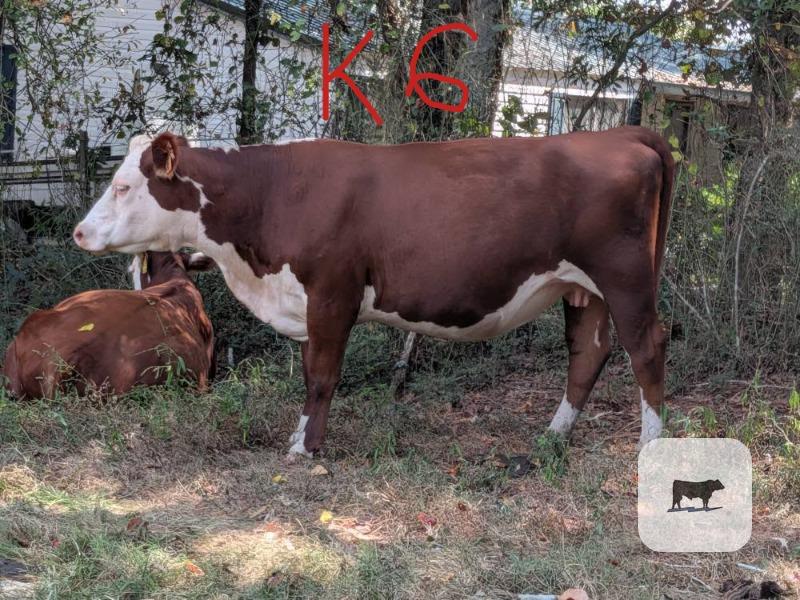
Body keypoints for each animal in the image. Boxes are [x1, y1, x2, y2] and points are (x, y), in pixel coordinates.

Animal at [73, 126, 674, 457]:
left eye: (122, 186)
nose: (78, 232)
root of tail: (619, 134)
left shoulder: (332, 293)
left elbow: (321, 375)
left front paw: (304, 447)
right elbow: (315, 374)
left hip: (625, 278)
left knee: (646, 348)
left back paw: (650, 444)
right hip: (582, 288)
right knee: (588, 354)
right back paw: (554, 436)